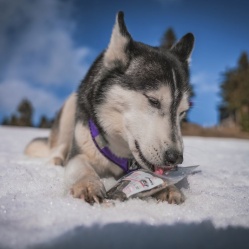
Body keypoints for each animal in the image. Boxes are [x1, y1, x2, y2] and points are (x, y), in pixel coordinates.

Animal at [26, 11, 196, 204]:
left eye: (182, 112)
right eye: (153, 101)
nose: (176, 158)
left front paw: (169, 187)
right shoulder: (79, 152)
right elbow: (82, 166)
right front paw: (88, 184)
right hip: (70, 108)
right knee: (59, 148)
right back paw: (55, 159)